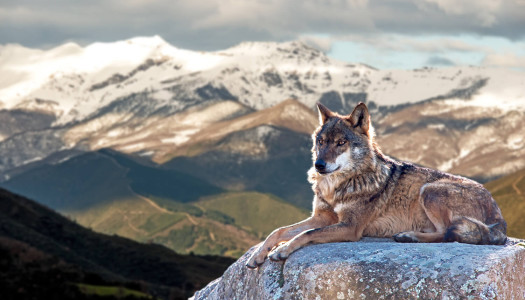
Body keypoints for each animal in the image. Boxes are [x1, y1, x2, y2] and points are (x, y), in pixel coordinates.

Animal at [247, 102, 508, 268]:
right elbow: (279, 231)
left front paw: (281, 250)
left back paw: (409, 236)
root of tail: (499, 216)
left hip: (430, 191)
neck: (337, 187)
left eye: (341, 143)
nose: (319, 165)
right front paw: (258, 255)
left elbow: (306, 234)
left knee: (447, 233)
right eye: (321, 141)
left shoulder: (350, 227)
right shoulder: (323, 217)